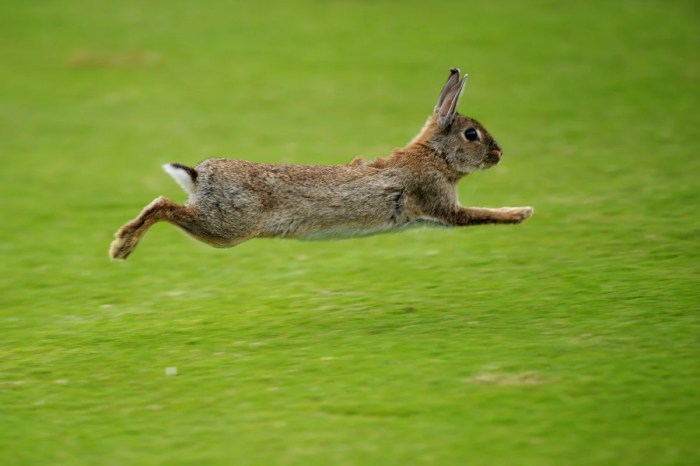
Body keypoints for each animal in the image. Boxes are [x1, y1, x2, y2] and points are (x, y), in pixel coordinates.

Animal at [109, 67, 532, 260]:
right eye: (472, 134)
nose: (499, 154)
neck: (434, 155)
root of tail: (199, 177)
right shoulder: (440, 204)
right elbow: (480, 215)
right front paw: (522, 213)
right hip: (227, 227)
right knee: (165, 206)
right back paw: (122, 246)